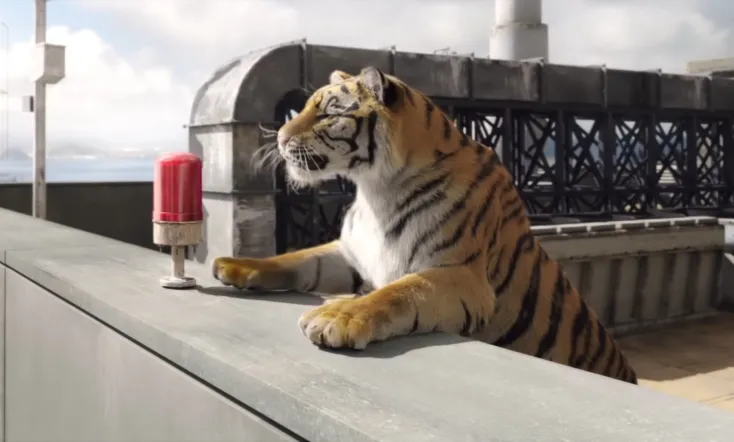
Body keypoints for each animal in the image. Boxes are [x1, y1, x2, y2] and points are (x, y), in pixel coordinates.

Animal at [211, 66, 638, 384]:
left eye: (330, 113)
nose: (280, 139)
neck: (375, 189)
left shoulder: (459, 274)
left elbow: (396, 293)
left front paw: (337, 316)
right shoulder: (353, 255)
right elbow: (298, 259)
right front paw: (237, 265)